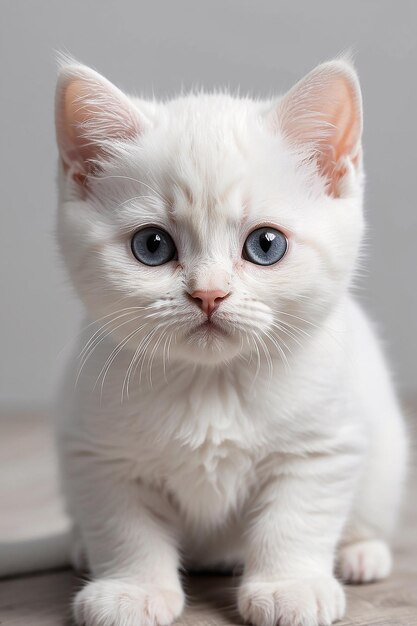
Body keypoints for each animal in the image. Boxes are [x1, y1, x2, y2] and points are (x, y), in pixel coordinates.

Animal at [52, 59, 406, 624]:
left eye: (266, 244)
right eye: (152, 245)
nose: (209, 293)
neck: (211, 384)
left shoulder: (324, 444)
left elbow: (297, 517)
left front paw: (289, 586)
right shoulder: (96, 450)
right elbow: (125, 526)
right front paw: (131, 589)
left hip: (386, 456)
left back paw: (360, 552)